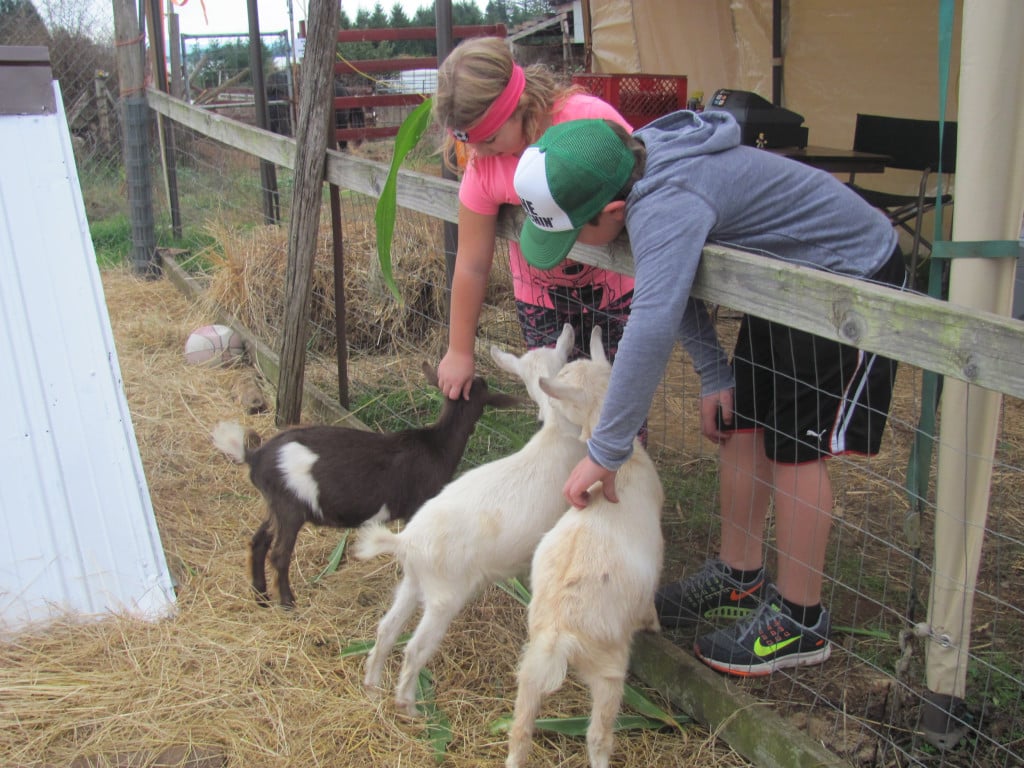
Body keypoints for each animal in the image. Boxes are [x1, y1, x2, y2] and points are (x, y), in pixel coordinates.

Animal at [356, 323, 589, 716]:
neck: (556, 434)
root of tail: (406, 541)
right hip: (443, 597)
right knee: (414, 649)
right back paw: (411, 708)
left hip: (414, 581)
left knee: (386, 628)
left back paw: (373, 685)